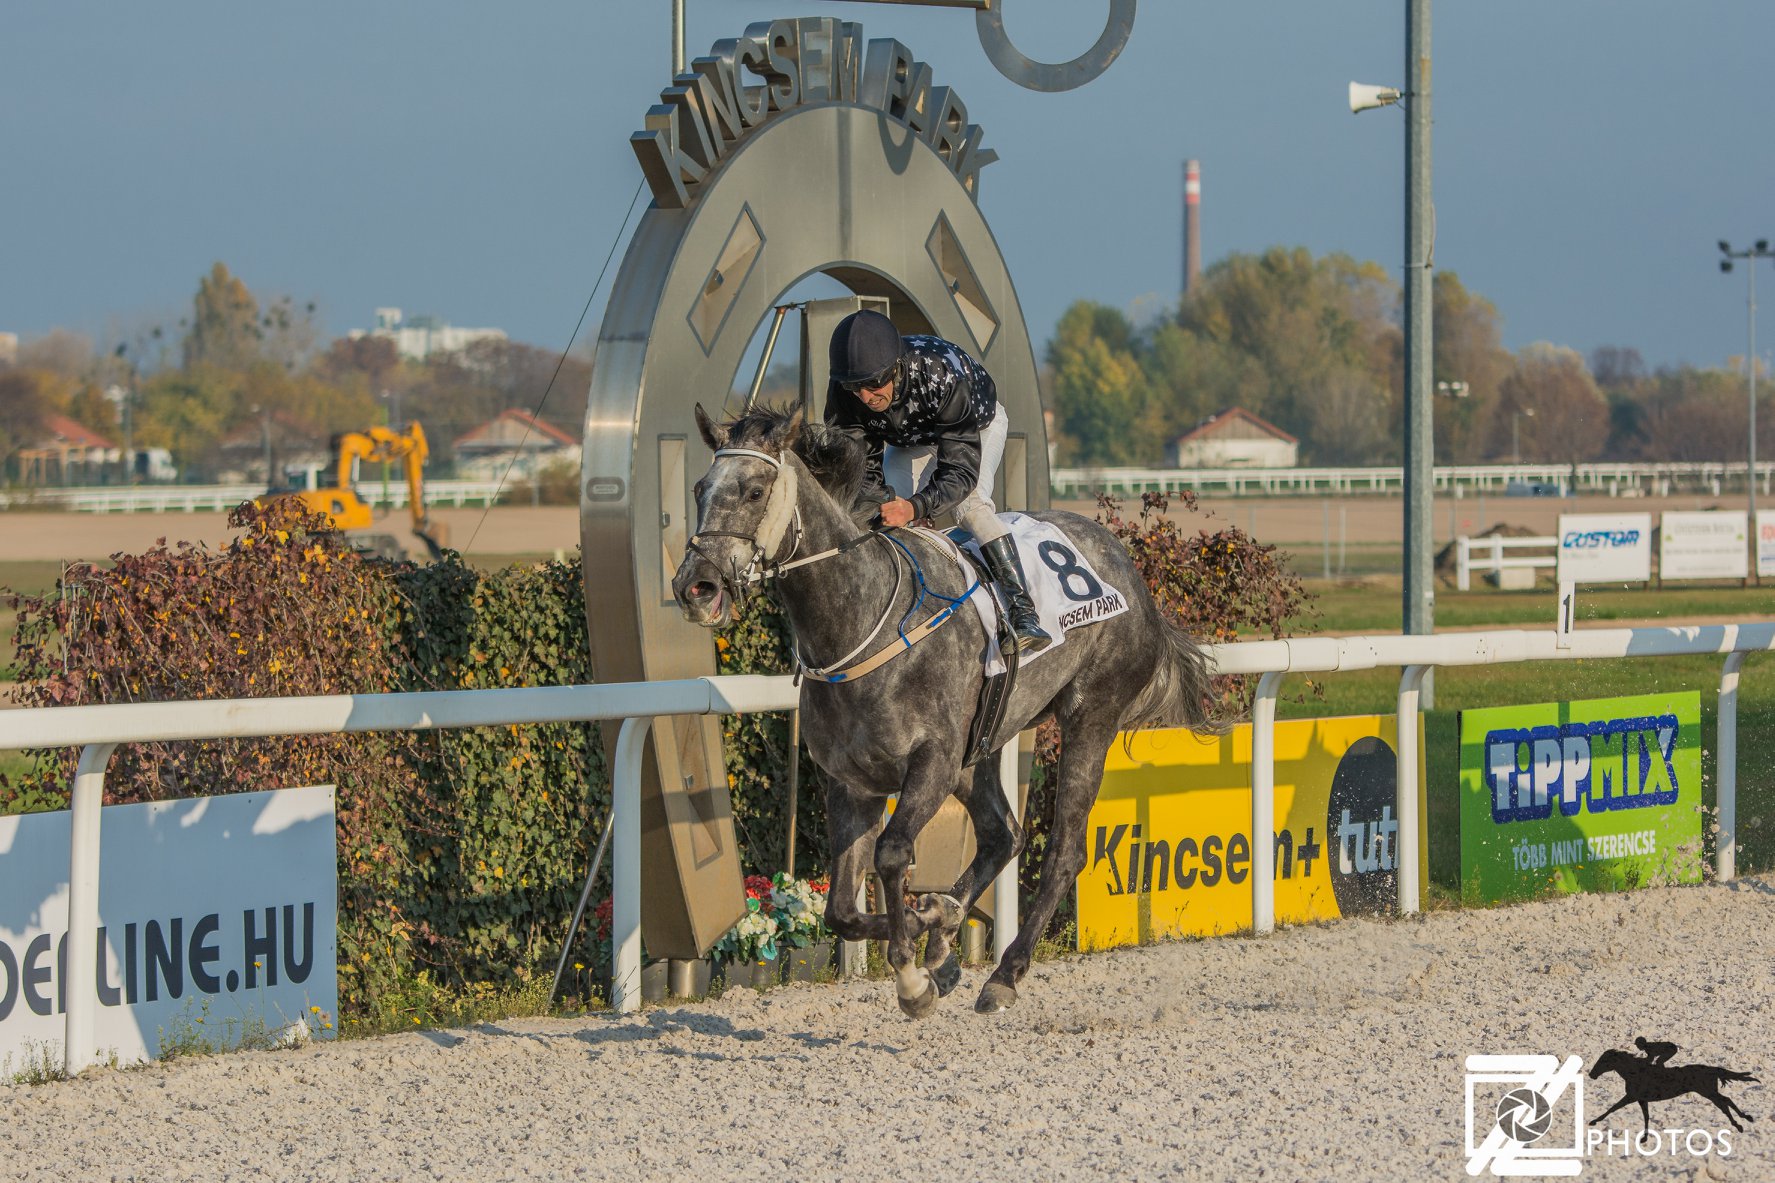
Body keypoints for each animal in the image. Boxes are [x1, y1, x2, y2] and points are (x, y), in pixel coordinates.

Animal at [670, 404, 1214, 1016]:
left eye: (755, 489)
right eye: (700, 488)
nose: (696, 586)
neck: (862, 619)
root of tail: (1124, 561)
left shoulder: (931, 761)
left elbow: (890, 855)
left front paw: (916, 966)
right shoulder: (851, 781)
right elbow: (842, 912)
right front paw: (934, 932)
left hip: (1090, 718)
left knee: (1065, 851)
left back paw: (1004, 973)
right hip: (983, 744)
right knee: (1003, 835)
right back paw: (949, 939)